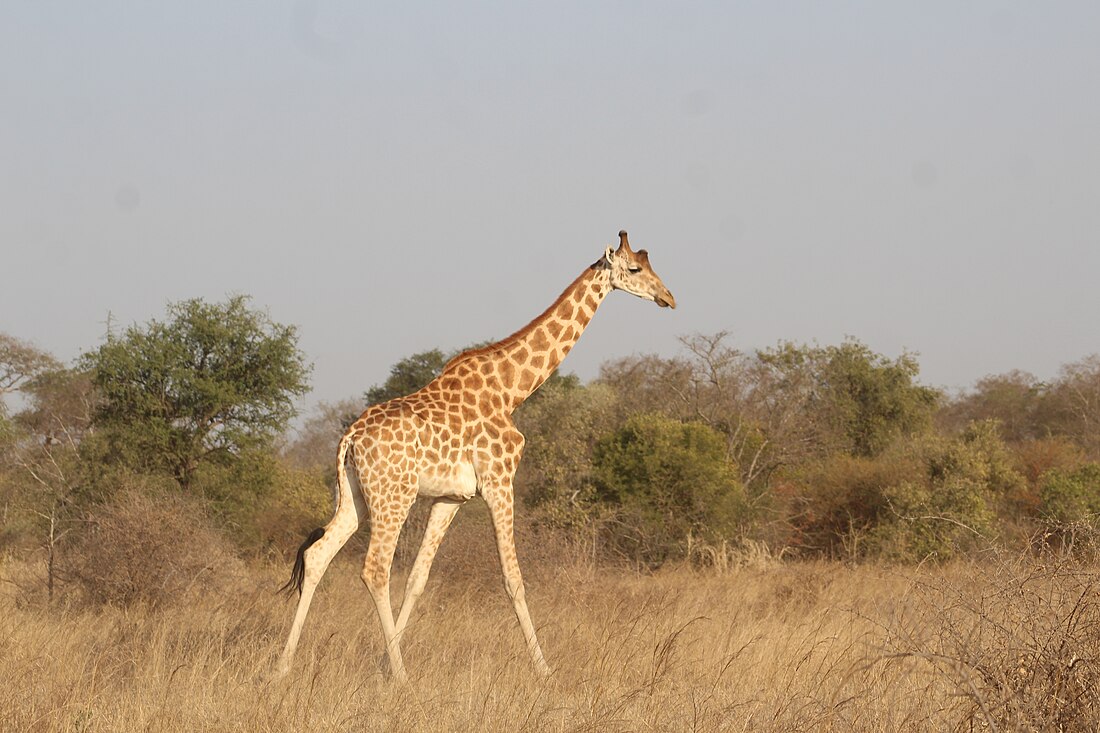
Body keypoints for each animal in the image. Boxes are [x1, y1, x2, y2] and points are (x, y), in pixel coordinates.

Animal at [275, 228, 673, 677]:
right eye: (636, 268)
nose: (668, 297)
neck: (512, 390)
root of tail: (351, 438)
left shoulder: (451, 497)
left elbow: (418, 579)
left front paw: (380, 662)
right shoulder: (500, 481)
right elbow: (513, 579)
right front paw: (544, 670)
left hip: (355, 495)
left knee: (318, 555)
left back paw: (283, 666)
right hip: (394, 496)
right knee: (375, 569)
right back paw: (403, 676)